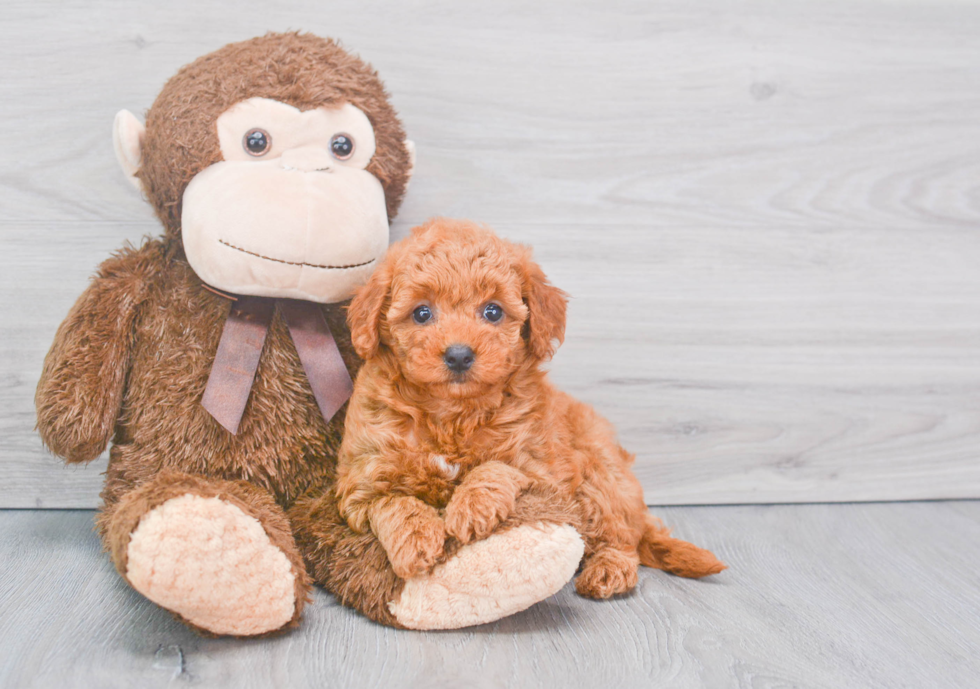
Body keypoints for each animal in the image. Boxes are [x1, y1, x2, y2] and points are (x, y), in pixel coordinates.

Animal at [338, 220, 728, 596]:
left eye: (492, 311)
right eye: (421, 313)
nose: (459, 355)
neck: (453, 414)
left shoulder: (540, 465)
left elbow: (497, 467)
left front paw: (471, 506)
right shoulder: (361, 478)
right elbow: (392, 502)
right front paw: (415, 540)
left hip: (601, 475)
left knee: (620, 537)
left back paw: (609, 570)